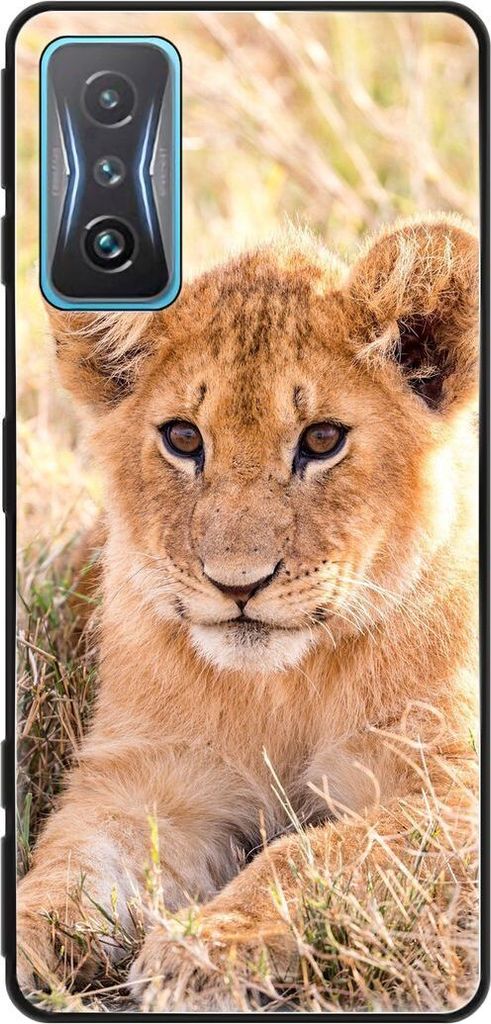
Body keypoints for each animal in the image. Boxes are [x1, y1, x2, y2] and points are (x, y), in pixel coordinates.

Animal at [17, 214, 479, 1011]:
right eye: (183, 438)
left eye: (322, 439)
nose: (238, 585)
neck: (285, 688)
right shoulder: (145, 781)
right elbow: (65, 871)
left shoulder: (451, 789)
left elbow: (314, 854)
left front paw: (201, 950)